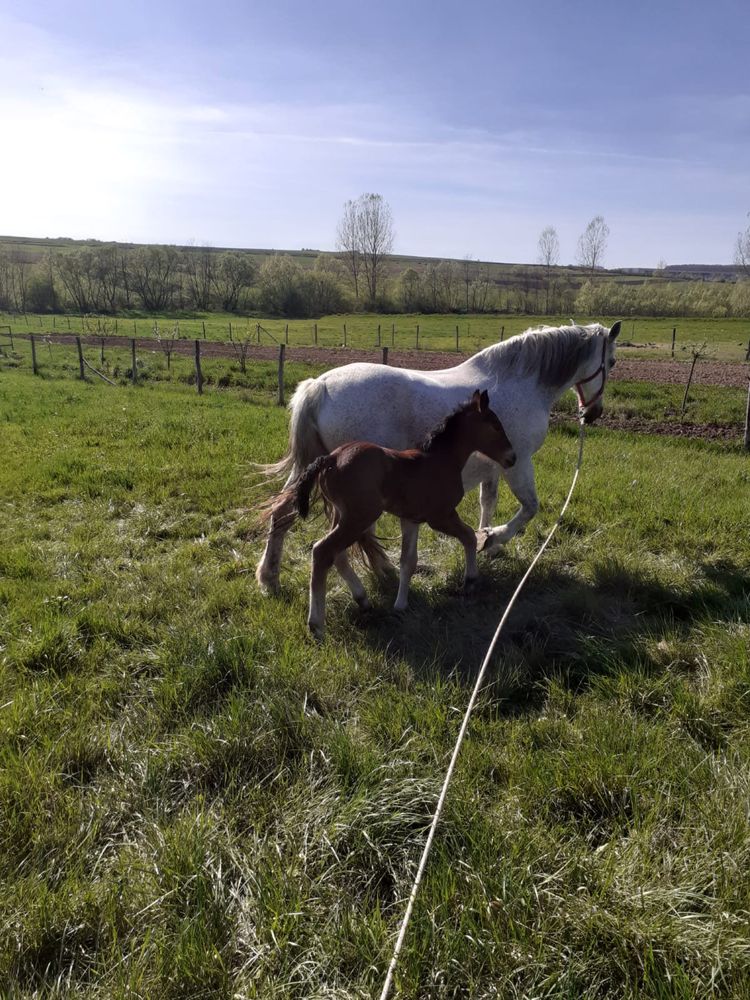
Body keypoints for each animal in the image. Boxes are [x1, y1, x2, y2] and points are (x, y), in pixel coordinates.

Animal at [258, 320, 624, 588]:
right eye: (611, 361)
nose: (593, 414)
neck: (522, 382)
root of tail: (318, 387)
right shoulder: (518, 463)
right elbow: (529, 508)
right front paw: (493, 539)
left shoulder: (494, 465)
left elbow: (488, 503)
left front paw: (485, 541)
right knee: (357, 530)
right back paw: (384, 570)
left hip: (312, 470)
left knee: (282, 513)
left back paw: (269, 578)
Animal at [288, 386, 516, 636]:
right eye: (495, 425)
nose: (512, 457)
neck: (441, 460)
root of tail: (331, 458)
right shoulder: (441, 516)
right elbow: (468, 537)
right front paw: (471, 580)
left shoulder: (410, 519)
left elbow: (408, 561)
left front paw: (400, 605)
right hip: (359, 517)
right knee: (322, 551)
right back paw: (317, 625)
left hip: (343, 516)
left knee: (336, 554)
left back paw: (362, 600)